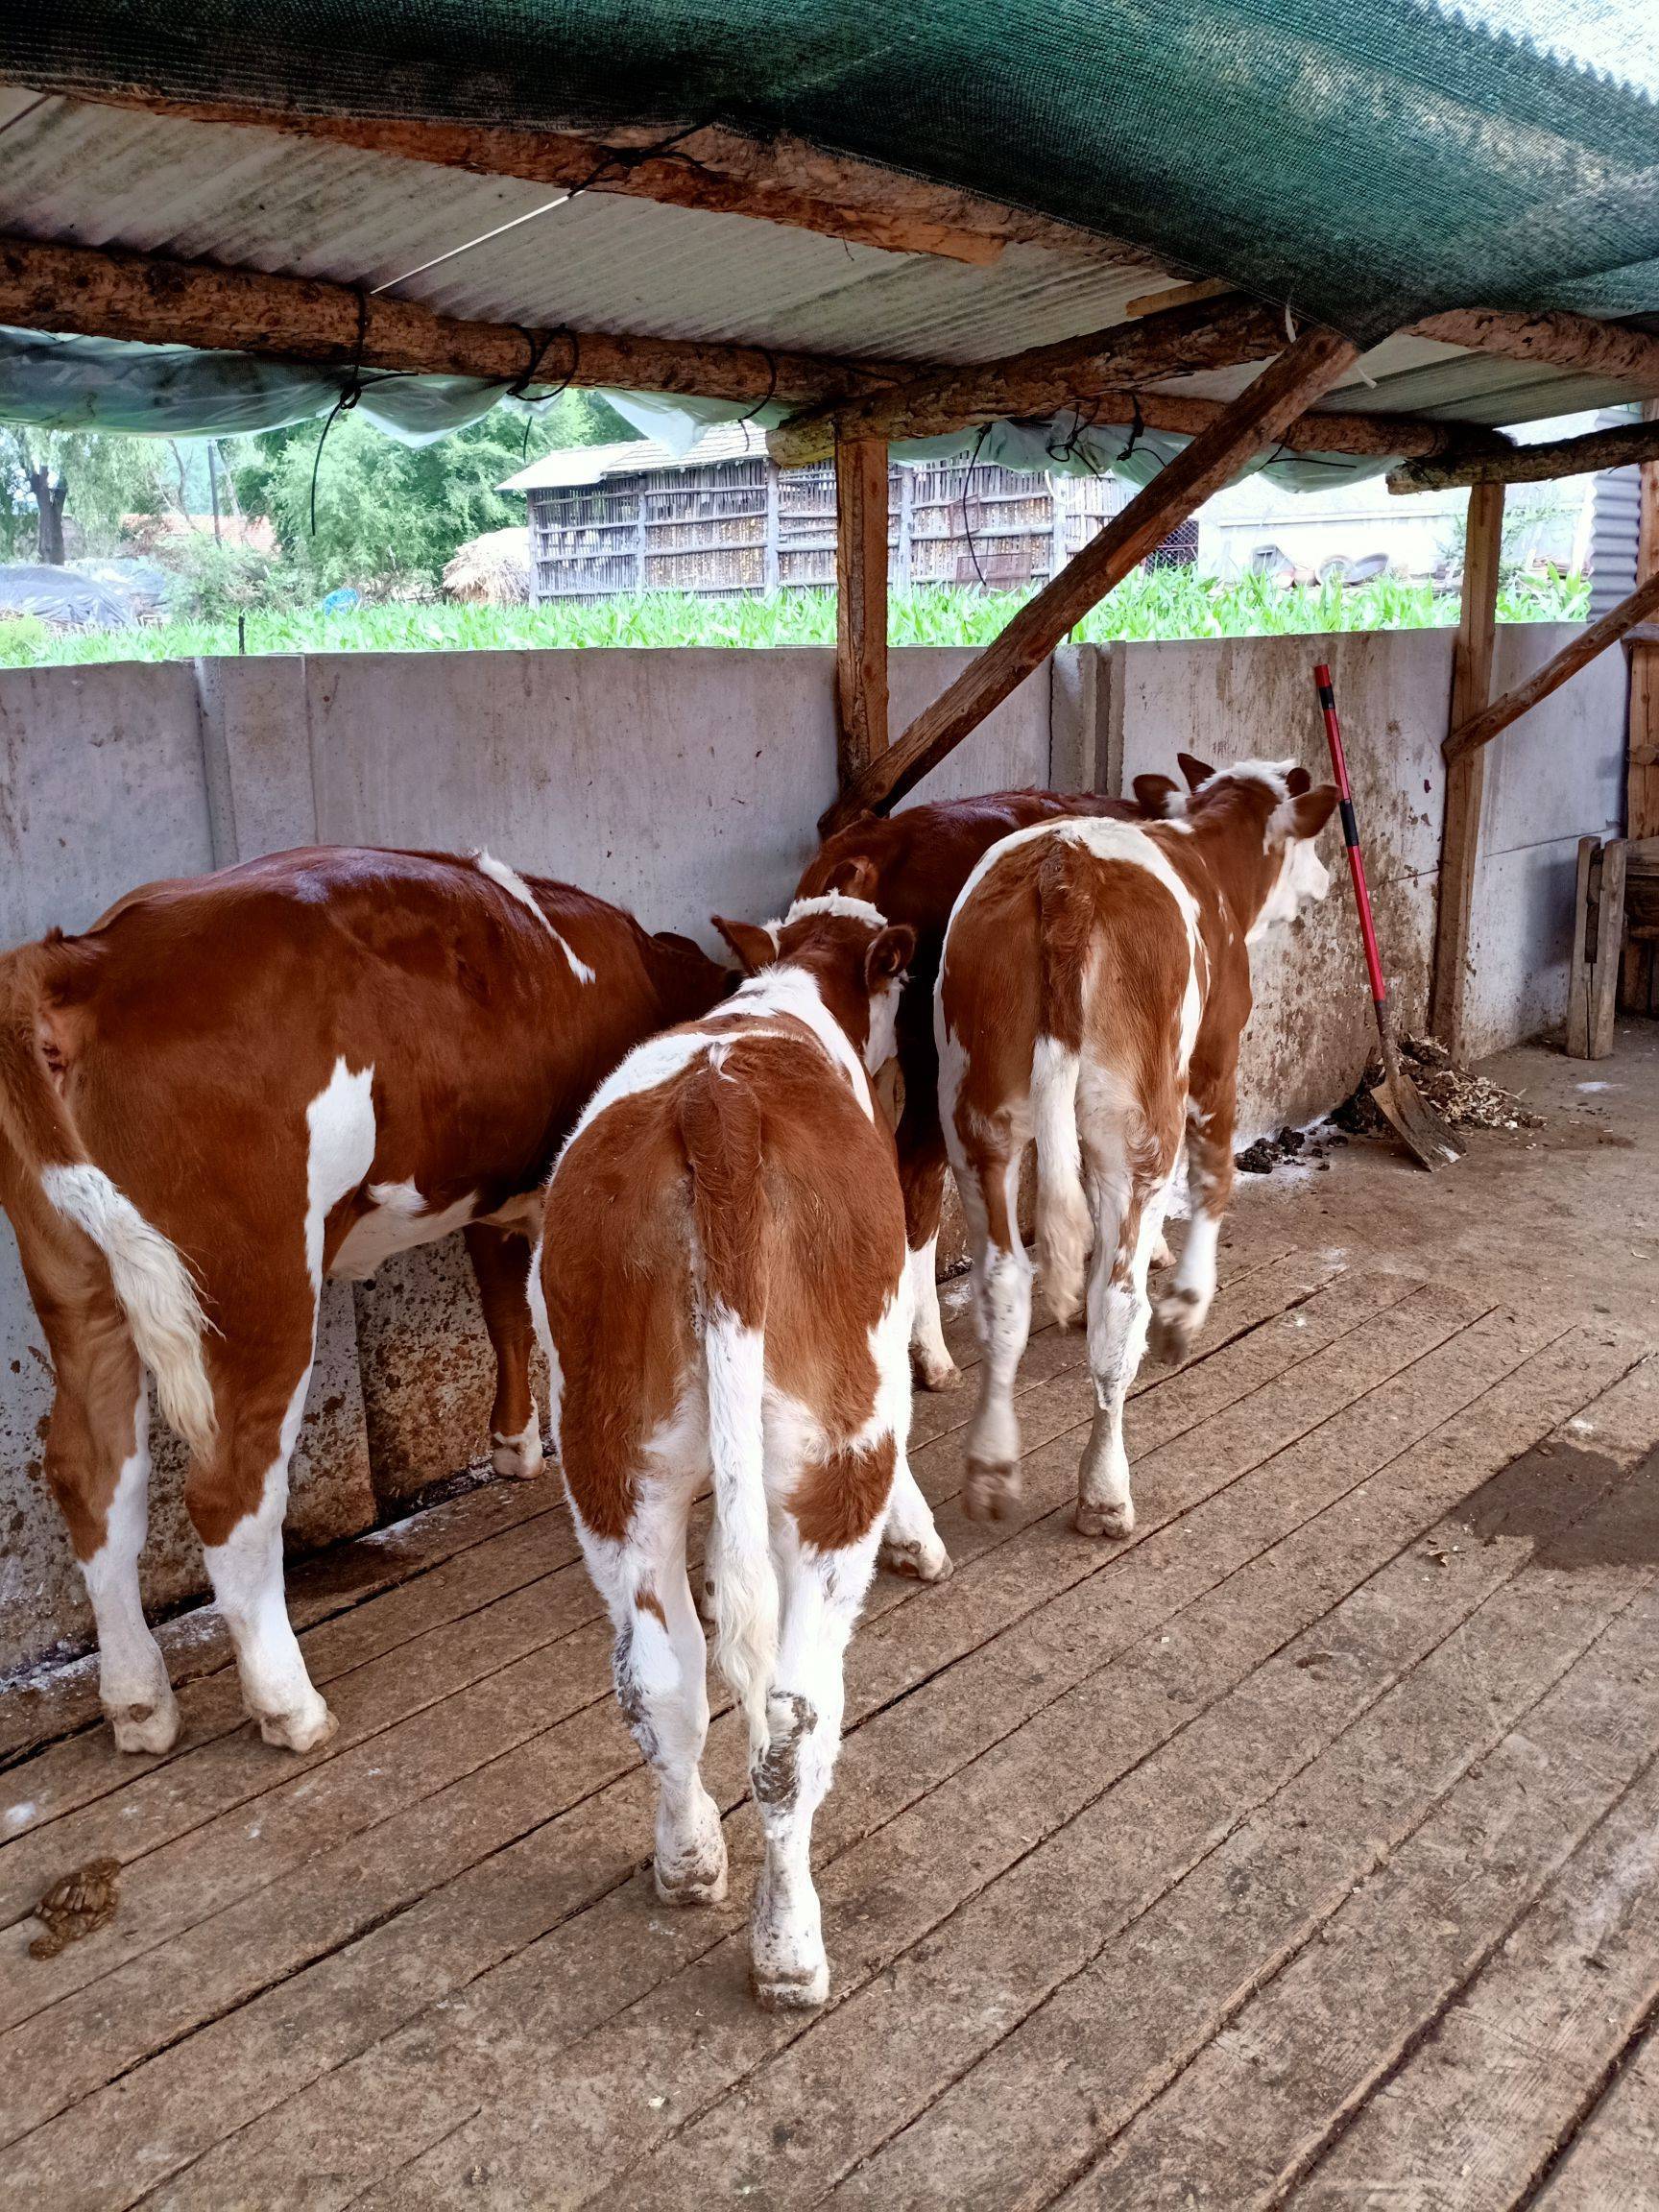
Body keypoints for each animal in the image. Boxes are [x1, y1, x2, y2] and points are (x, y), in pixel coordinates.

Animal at [0, 840, 725, 1743]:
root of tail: (85, 956)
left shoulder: (491, 1191)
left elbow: (502, 1306)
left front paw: (512, 1446)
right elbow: (531, 1311)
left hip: (76, 1285)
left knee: (93, 1476)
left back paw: (139, 1703)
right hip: (257, 1281)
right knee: (231, 1491)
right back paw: (289, 1705)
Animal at [942, 760, 1344, 1539]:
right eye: (1312, 841)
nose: (1328, 881)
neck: (1209, 853)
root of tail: (1066, 870)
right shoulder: (1218, 1053)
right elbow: (1215, 1179)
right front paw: (1186, 1305)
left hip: (979, 1117)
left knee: (1002, 1288)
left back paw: (991, 1470)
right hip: (1142, 1121)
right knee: (1118, 1309)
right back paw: (1104, 1490)